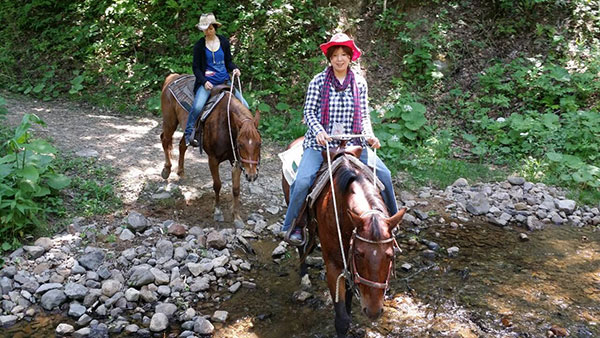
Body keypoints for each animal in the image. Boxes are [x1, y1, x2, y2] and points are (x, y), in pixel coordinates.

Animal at [161, 74, 262, 227]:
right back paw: (166, 170)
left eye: (259, 144)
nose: (251, 175)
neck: (226, 124)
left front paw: (236, 217)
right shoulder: (213, 159)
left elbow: (236, 189)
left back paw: (181, 172)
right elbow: (217, 185)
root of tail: (173, 77)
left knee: (182, 145)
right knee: (165, 140)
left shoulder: (237, 161)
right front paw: (218, 211)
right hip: (170, 122)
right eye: (240, 145)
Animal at [282, 139, 406, 336]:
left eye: (390, 255)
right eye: (359, 254)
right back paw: (304, 277)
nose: (373, 311)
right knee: (300, 244)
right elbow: (342, 320)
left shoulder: (349, 262)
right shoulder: (334, 264)